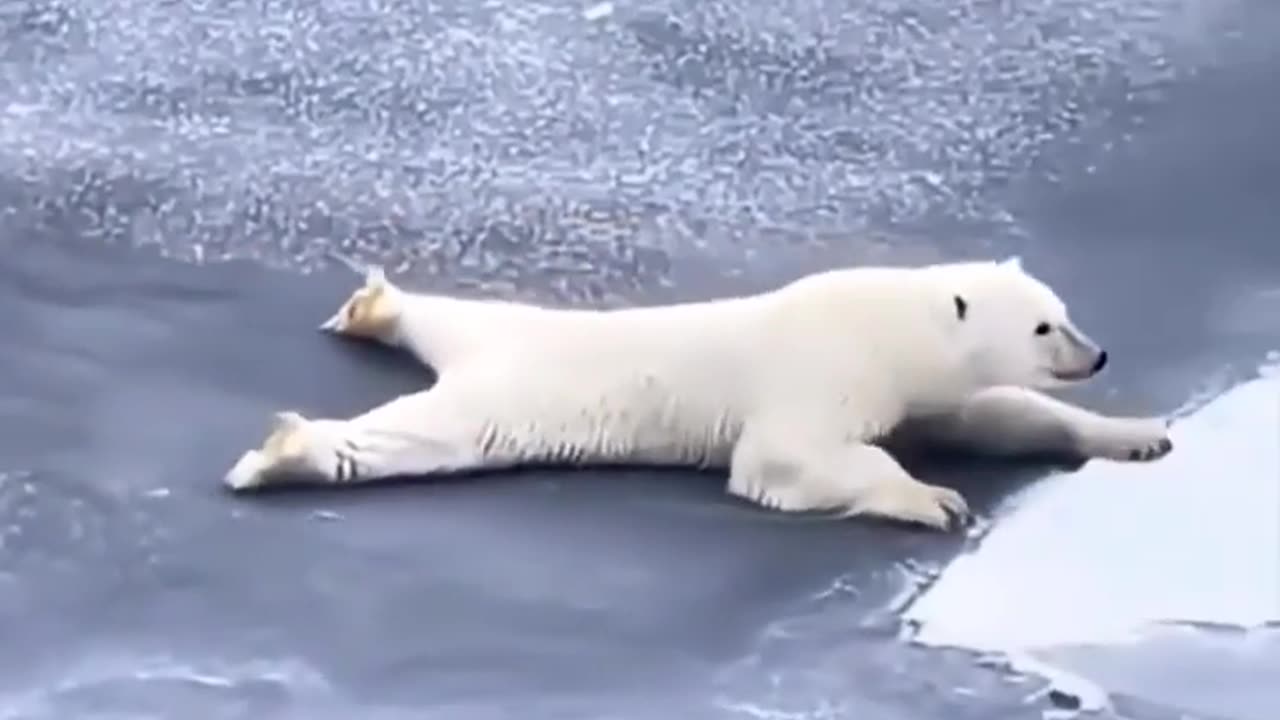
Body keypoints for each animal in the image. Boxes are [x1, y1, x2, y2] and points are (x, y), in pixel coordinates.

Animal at [222, 257, 1173, 531]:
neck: (890, 326)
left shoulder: (920, 386)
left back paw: (377, 307)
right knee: (410, 438)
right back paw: (284, 451)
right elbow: (786, 457)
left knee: (452, 314)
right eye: (1046, 327)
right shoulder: (823, 370)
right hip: (507, 396)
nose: (1097, 353)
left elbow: (993, 416)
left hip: (500, 331)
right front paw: (934, 500)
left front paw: (1141, 432)